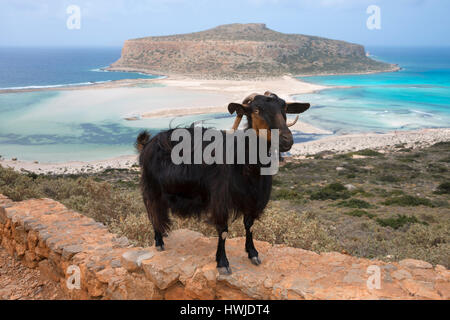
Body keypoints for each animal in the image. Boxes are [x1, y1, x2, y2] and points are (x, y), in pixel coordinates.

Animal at [135, 91, 308, 274]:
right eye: (256, 110)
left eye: (284, 108)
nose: (286, 140)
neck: (246, 165)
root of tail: (147, 143)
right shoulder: (220, 199)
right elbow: (223, 231)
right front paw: (223, 263)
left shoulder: (252, 200)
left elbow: (250, 226)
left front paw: (253, 253)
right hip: (151, 187)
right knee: (153, 211)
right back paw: (159, 241)